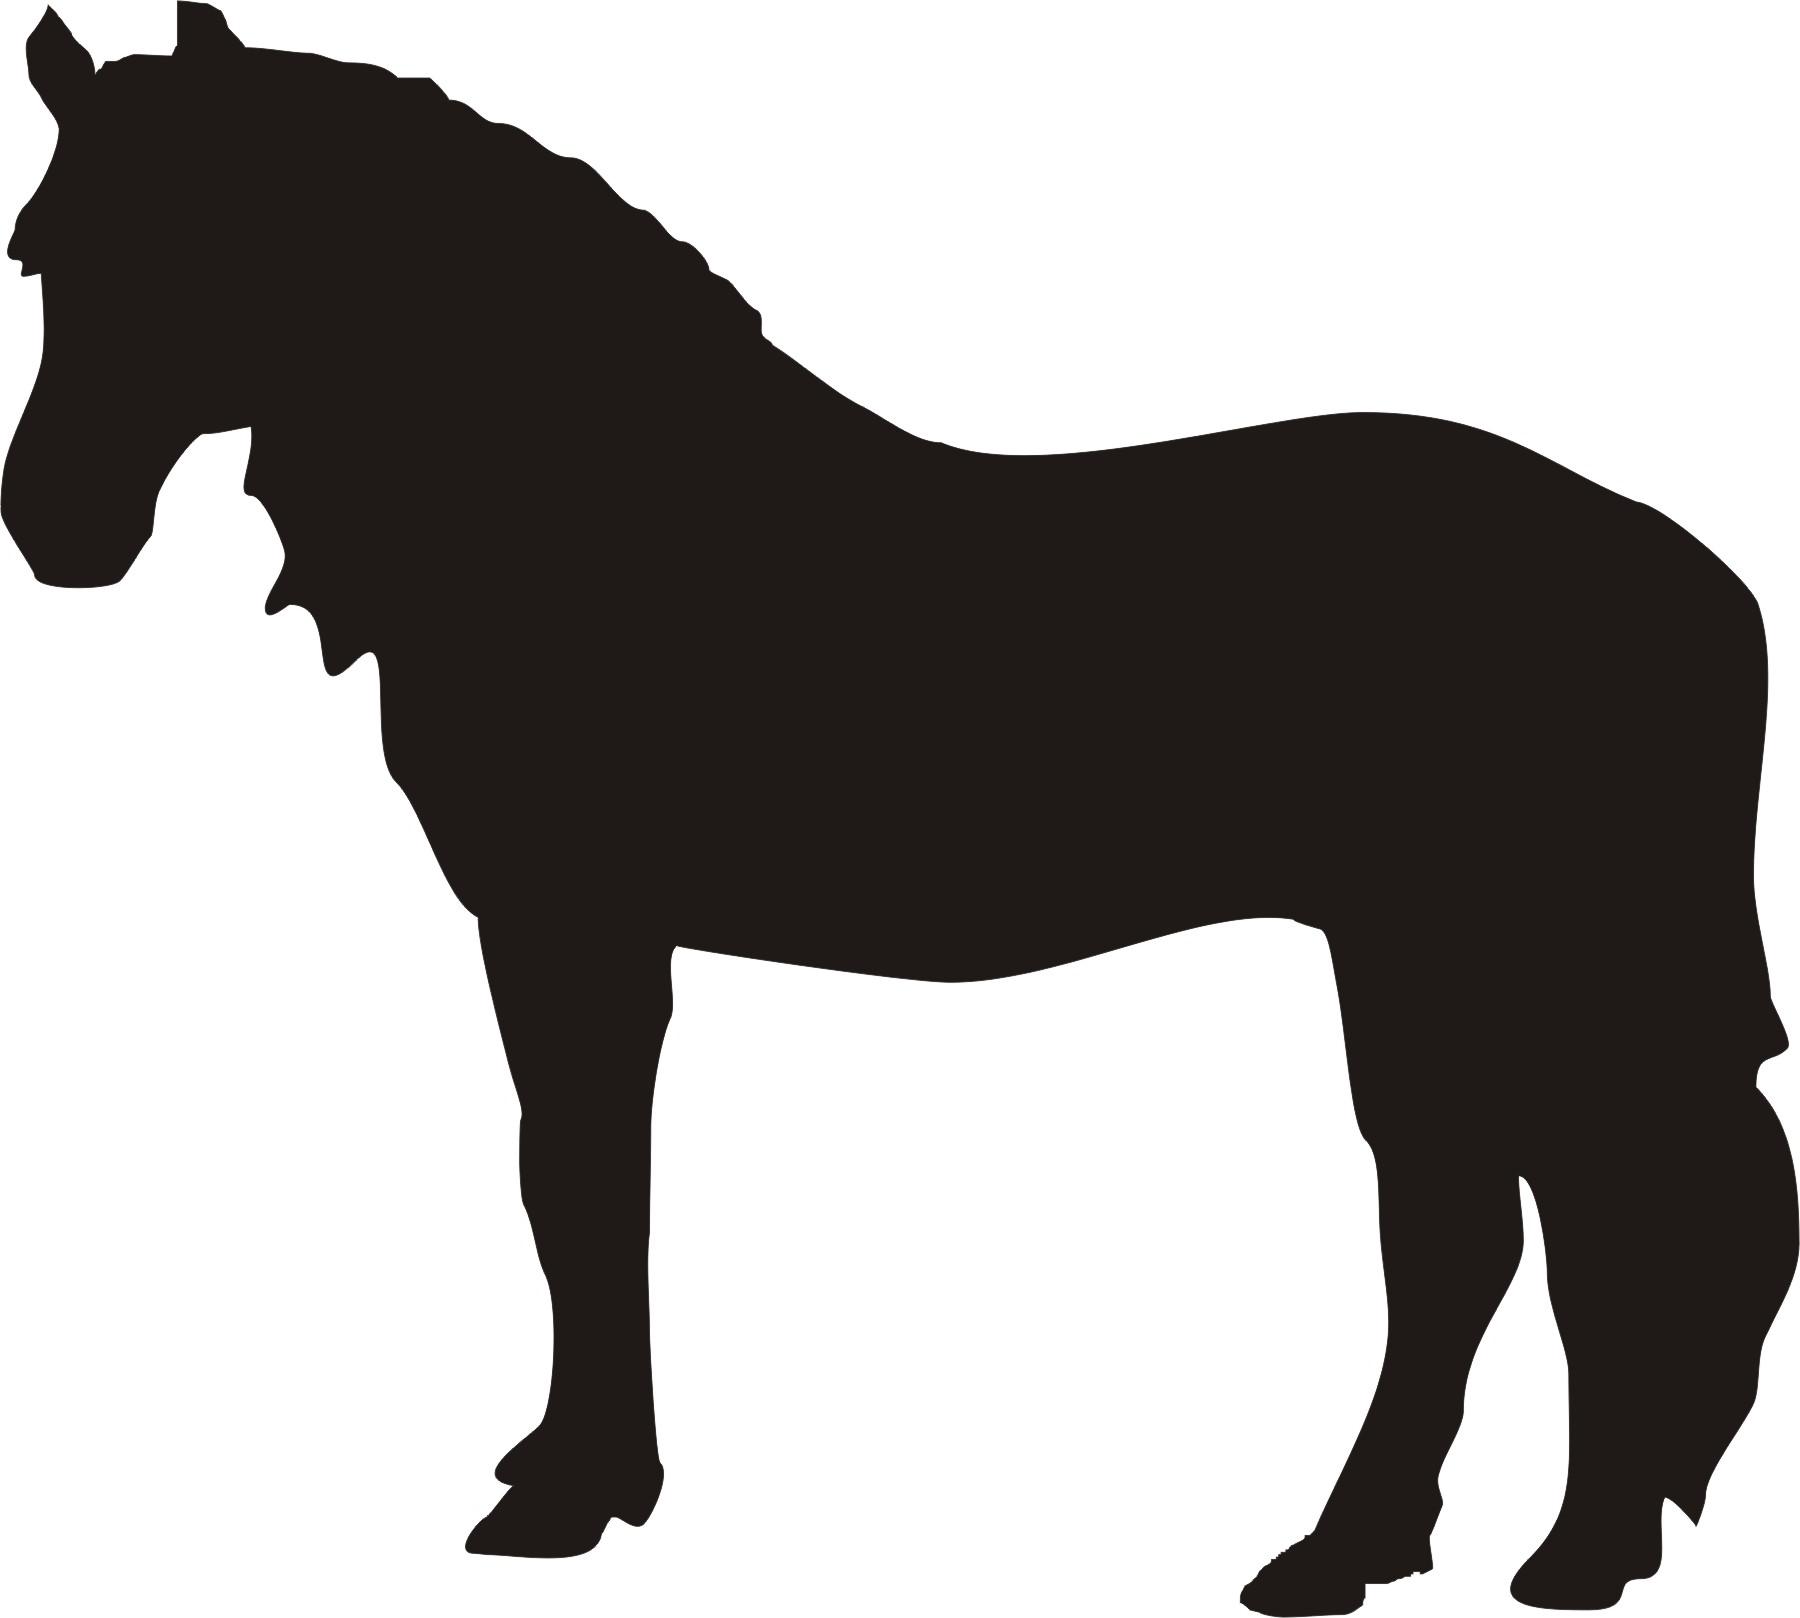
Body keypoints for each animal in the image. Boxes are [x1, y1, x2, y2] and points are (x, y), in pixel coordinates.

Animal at [5, 6, 1794, 1611]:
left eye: (198, 245)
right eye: (38, 259)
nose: (53, 523)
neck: (584, 494)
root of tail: (1685, 574)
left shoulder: (569, 922)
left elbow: (578, 1182)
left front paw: (572, 1493)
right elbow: (579, 1183)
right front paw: (578, 1469)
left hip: (1457, 953)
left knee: (1531, 1224)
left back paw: (1448, 1551)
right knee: (1530, 1222)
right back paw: (1476, 1546)